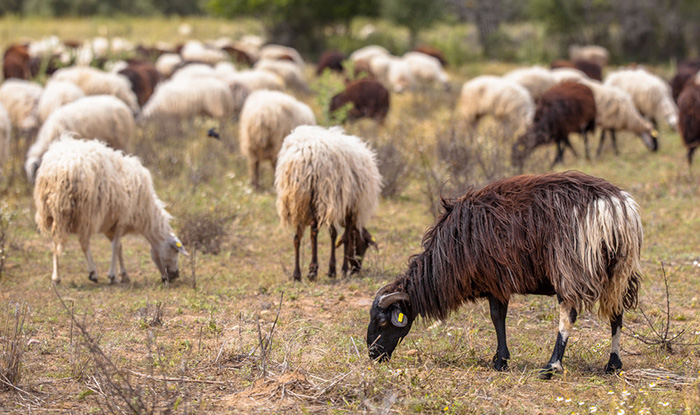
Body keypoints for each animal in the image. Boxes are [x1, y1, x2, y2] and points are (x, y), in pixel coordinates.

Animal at [33, 135, 187, 284]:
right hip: (84, 212)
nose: (175, 275)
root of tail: (62, 167)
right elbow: (115, 246)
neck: (145, 214)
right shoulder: (122, 219)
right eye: (175, 252)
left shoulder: (110, 225)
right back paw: (93, 272)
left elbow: (119, 248)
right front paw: (112, 276)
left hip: (54, 212)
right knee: (83, 242)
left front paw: (124, 275)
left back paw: (56, 277)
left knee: (55, 243)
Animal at [274, 125, 382, 282]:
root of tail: (306, 155)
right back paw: (312, 270)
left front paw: (333, 269)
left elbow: (334, 233)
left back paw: (297, 274)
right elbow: (345, 237)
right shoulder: (347, 208)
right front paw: (340, 269)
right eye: (363, 246)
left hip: (298, 201)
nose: (356, 269)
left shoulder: (335, 207)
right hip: (320, 196)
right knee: (313, 232)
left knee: (297, 238)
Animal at [370, 171, 644, 382]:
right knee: (617, 314)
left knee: (568, 316)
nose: (373, 355)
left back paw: (551, 367)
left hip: (571, 266)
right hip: (620, 270)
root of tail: (613, 208)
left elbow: (497, 317)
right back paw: (613, 364)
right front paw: (500, 358)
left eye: (383, 322)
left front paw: (500, 360)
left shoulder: (495, 280)